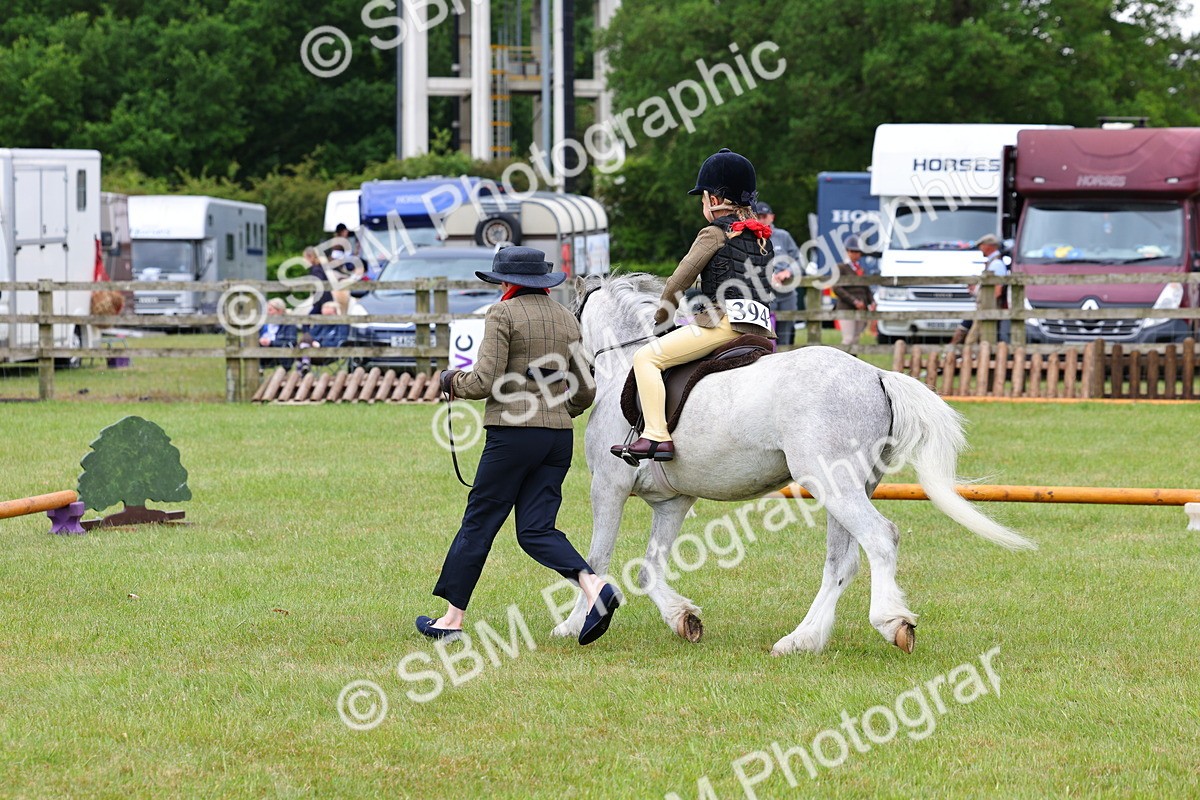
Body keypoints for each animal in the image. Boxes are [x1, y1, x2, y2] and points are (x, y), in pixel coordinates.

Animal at [551, 273, 1034, 655]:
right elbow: (649, 568)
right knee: (842, 563)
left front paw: (576, 625)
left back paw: (891, 622)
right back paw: (802, 639)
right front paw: (683, 619)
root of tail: (876, 376)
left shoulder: (608, 487)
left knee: (880, 538)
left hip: (831, 484)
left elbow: (596, 558)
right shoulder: (673, 502)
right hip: (851, 487)